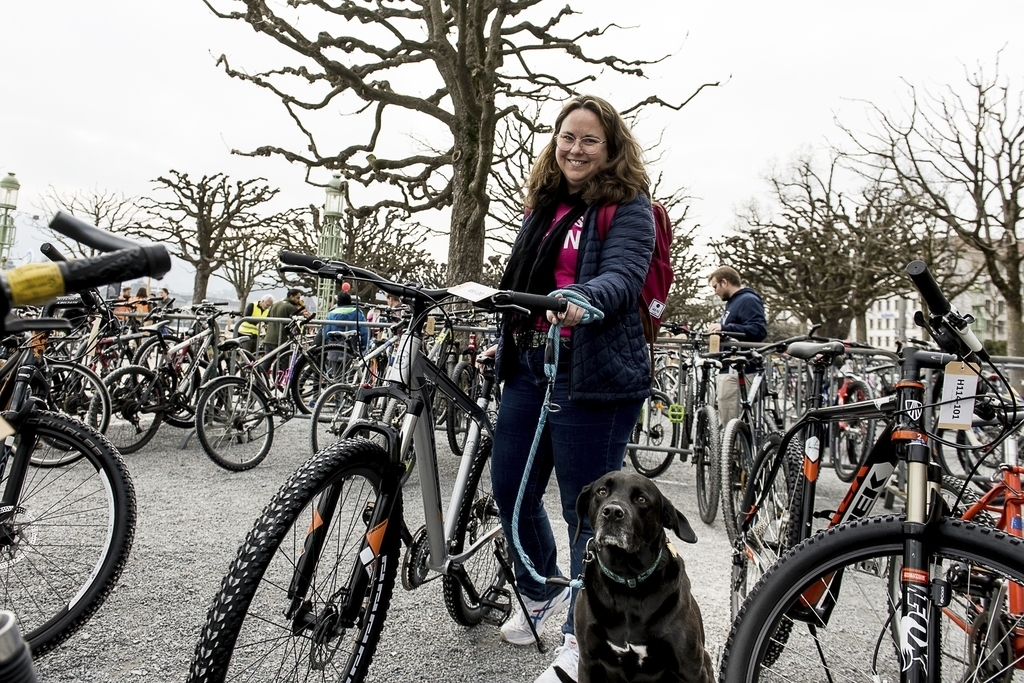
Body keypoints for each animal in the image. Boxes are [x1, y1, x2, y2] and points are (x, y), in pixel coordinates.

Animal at [557, 473, 716, 683]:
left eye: (642, 499)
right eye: (602, 491)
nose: (612, 512)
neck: (627, 582)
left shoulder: (692, 670)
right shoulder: (588, 662)